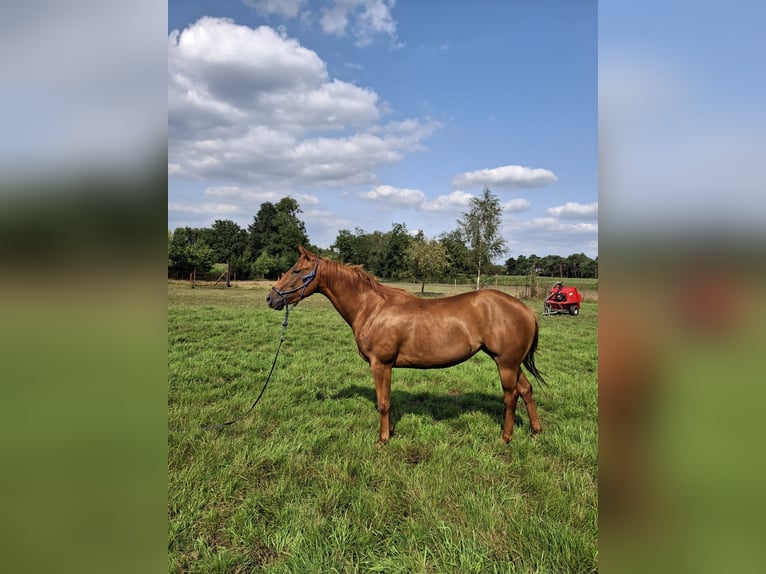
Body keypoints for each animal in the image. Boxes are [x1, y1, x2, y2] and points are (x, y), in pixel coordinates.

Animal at [267, 246, 545, 446]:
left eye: (295, 271)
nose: (271, 298)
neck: (371, 309)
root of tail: (526, 311)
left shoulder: (381, 364)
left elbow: (383, 402)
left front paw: (382, 439)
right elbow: (387, 401)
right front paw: (389, 432)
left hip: (505, 364)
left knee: (510, 397)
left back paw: (505, 438)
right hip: (512, 364)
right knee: (527, 390)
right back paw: (535, 431)